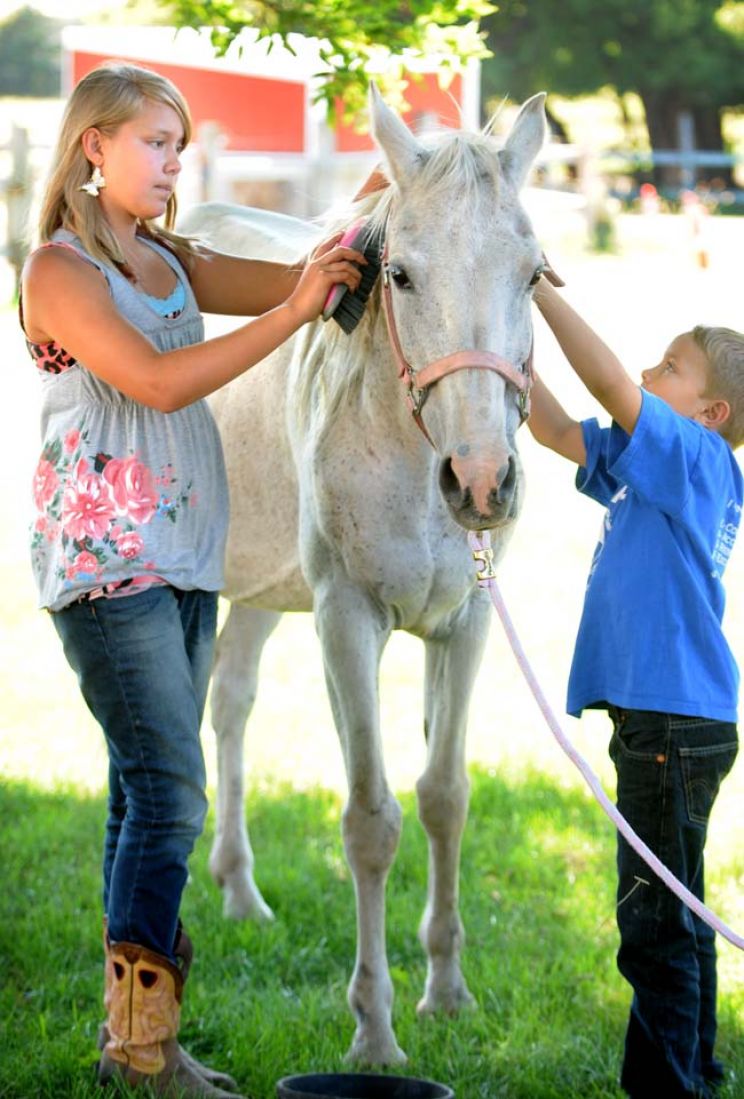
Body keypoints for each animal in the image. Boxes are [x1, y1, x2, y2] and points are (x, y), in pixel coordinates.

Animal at [181, 85, 545, 1063]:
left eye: (534, 275)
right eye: (402, 275)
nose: (482, 481)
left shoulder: (467, 625)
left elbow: (444, 797)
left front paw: (447, 992)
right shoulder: (346, 619)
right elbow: (370, 821)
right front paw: (374, 1032)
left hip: (259, 592)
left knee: (230, 701)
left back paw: (240, 891)